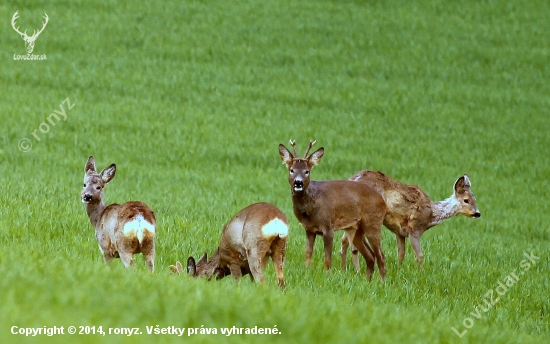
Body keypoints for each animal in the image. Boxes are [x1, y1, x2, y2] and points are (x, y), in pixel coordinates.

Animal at [280, 141, 388, 280]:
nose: (298, 183)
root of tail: (383, 201)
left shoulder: (328, 226)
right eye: (291, 170)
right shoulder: (309, 229)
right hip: (356, 229)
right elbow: (308, 254)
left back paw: (381, 281)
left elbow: (328, 259)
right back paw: (367, 281)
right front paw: (307, 272)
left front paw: (328, 277)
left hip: (373, 223)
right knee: (370, 255)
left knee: (381, 256)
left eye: (307, 171)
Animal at [344, 171, 484, 270]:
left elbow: (401, 254)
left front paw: (399, 270)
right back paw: (357, 269)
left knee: (345, 240)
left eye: (475, 199)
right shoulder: (414, 229)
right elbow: (420, 255)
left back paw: (345, 269)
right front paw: (422, 274)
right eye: (466, 200)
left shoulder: (400, 232)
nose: (477, 213)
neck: (432, 214)